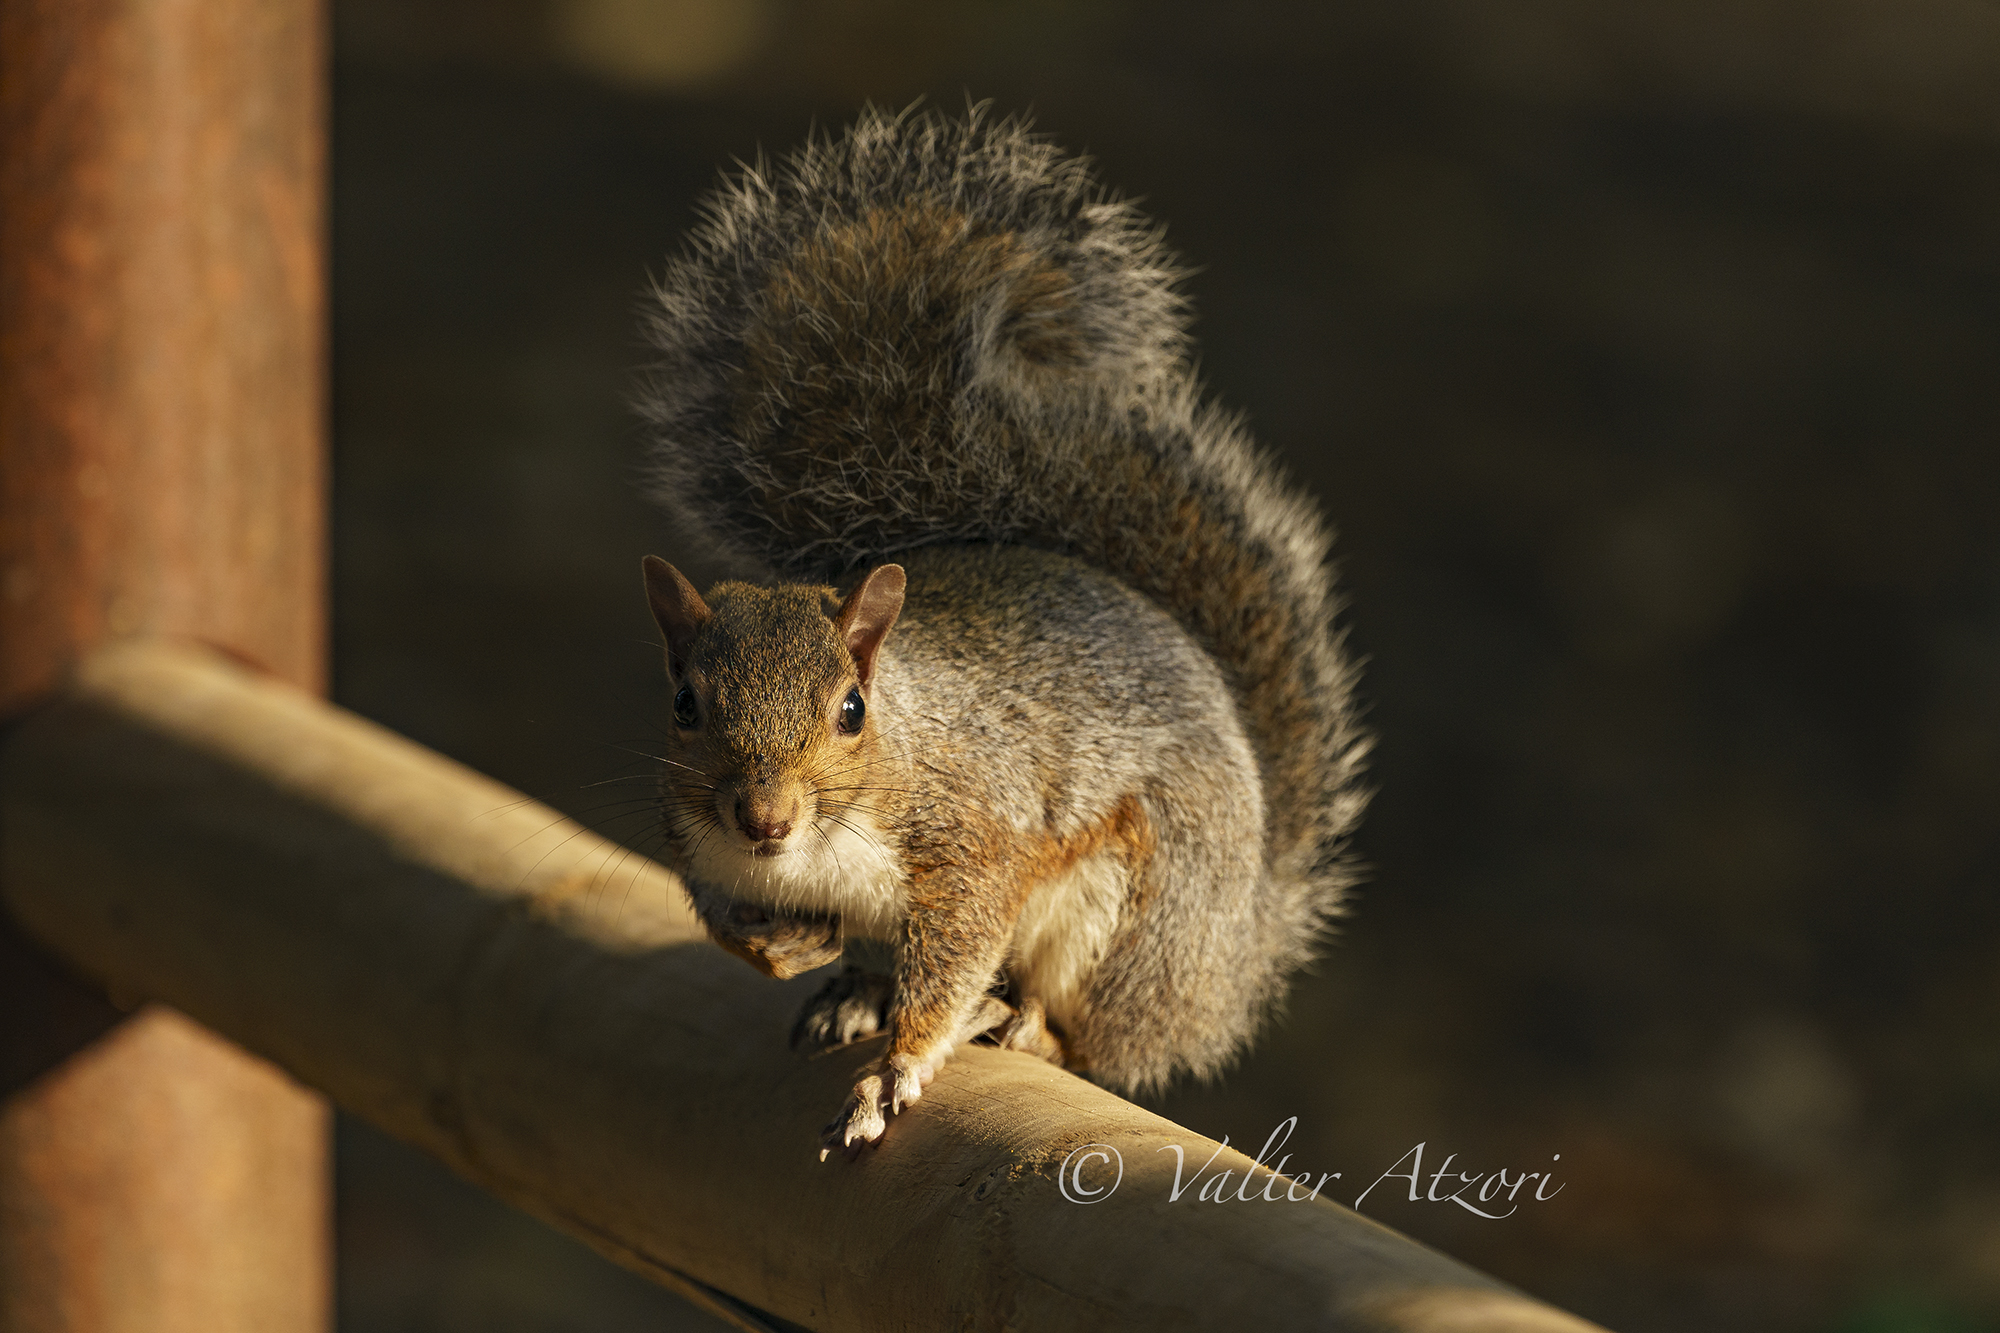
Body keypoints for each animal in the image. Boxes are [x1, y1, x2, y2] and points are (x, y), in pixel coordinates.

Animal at [634, 107, 1370, 1157]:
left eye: (851, 710)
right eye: (685, 703)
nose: (763, 818)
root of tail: (1229, 968)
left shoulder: (973, 835)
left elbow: (956, 952)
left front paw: (898, 1066)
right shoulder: (693, 833)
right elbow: (721, 915)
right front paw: (780, 942)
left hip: (1130, 918)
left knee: (1088, 1036)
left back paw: (1014, 1020)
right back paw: (857, 987)